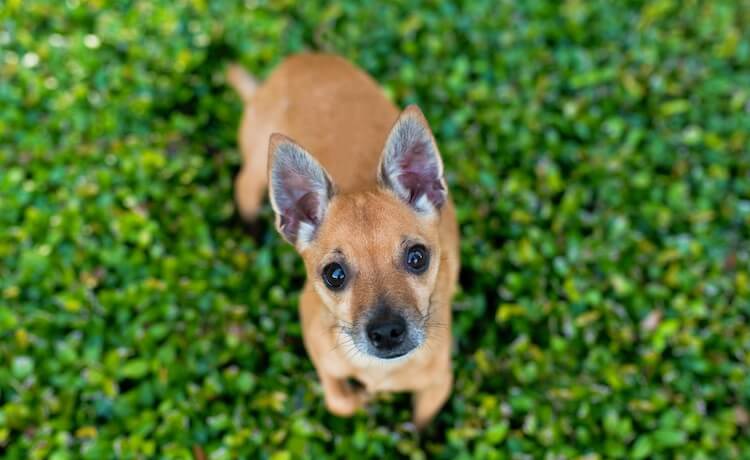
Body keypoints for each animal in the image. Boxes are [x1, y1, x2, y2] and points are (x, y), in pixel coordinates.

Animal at [229, 54, 462, 428]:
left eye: (417, 257)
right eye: (334, 275)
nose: (386, 332)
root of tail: (300, 59)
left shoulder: (438, 388)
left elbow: (419, 424)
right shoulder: (321, 356)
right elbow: (339, 400)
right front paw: (363, 399)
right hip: (254, 168)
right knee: (242, 187)